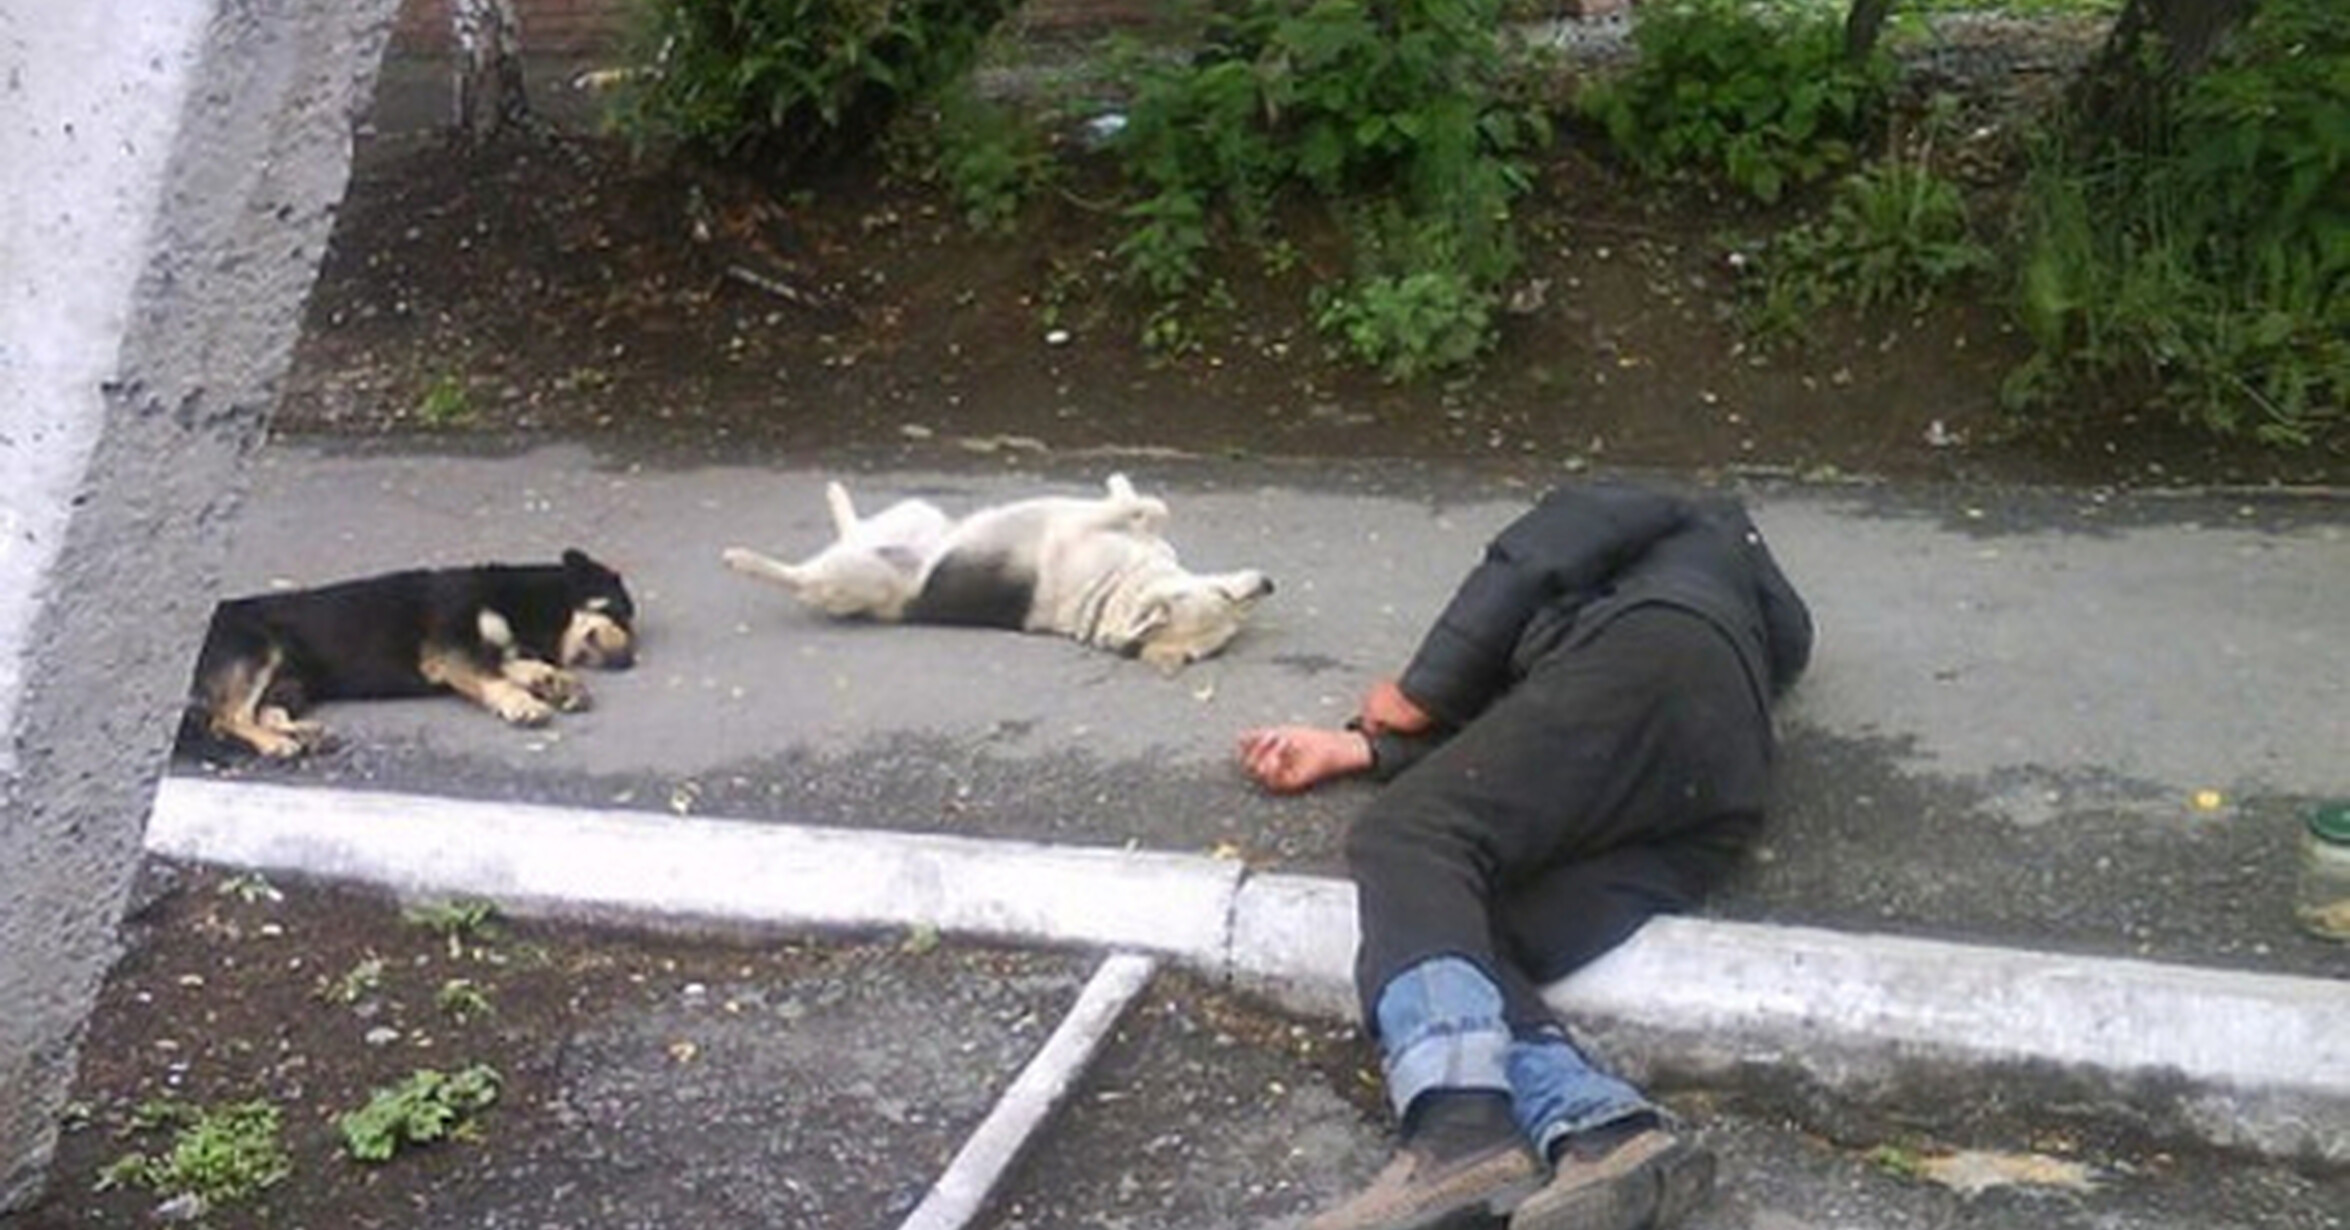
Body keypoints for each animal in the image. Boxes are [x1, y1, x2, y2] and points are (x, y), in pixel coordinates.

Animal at [181, 549, 637, 759]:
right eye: (620, 612)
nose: (630, 661)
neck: (517, 602)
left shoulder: (486, 652)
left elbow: (517, 666)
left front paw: (557, 682)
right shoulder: (450, 649)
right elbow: (497, 679)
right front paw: (524, 704)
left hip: (293, 682)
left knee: (260, 712)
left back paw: (305, 734)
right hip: (259, 651)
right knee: (228, 718)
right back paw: (276, 744)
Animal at [721, 474, 1272, 672]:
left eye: (1232, 619)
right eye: (1227, 598)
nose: (1270, 584)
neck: (1114, 591)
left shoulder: (1083, 526)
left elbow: (1142, 505)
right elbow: (1149, 505)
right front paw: (1123, 486)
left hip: (849, 573)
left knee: (799, 579)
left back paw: (741, 558)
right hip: (916, 514)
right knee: (853, 526)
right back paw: (836, 494)